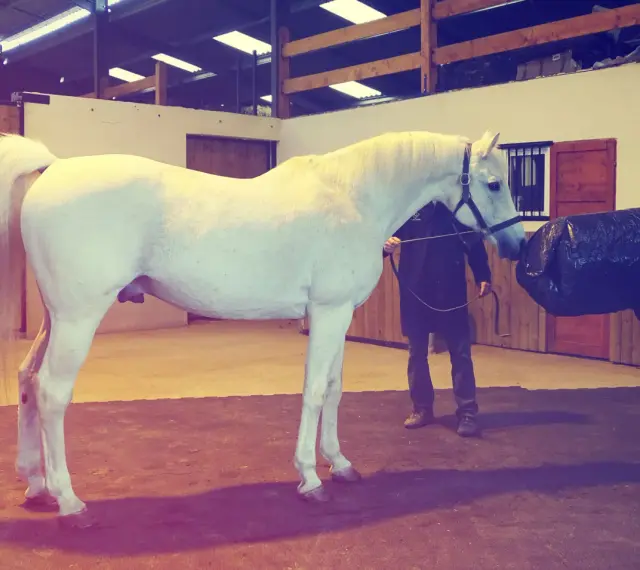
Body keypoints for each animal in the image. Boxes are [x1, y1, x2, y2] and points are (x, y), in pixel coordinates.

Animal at [0, 128, 526, 528]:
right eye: (494, 184)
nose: (518, 245)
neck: (354, 197)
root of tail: (53, 168)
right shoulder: (327, 311)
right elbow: (314, 390)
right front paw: (310, 479)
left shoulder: (339, 313)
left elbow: (334, 388)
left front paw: (340, 465)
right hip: (78, 317)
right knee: (51, 393)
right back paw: (70, 503)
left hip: (57, 317)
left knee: (27, 379)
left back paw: (37, 487)